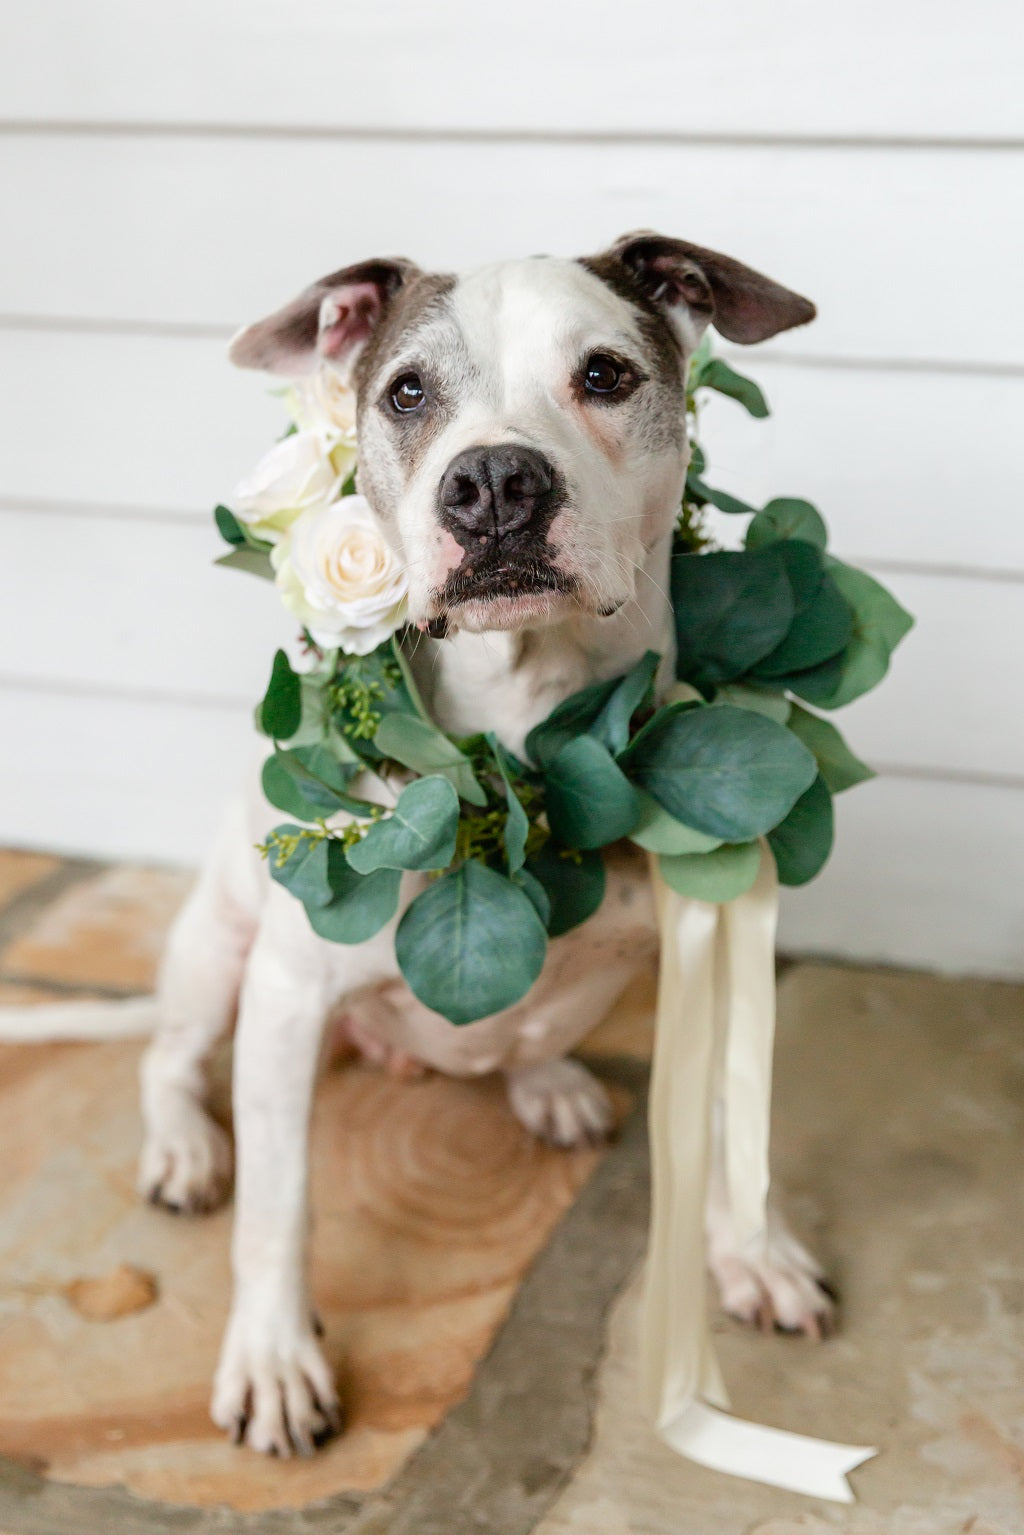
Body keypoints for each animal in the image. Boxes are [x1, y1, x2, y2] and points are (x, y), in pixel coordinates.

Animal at [134, 233, 835, 1455]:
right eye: (408, 392)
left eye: (605, 374)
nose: (497, 480)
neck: (530, 733)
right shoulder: (286, 998)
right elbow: (279, 1204)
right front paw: (273, 1356)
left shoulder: (710, 948)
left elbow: (719, 1111)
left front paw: (753, 1250)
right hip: (218, 940)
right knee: (168, 1058)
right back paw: (182, 1143)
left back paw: (546, 1079)